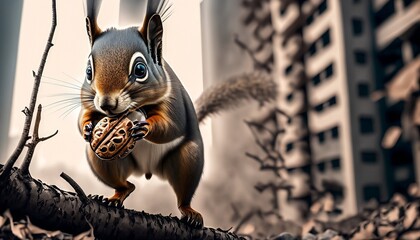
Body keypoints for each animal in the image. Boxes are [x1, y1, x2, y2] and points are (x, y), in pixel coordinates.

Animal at [79, 0, 276, 228]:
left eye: (140, 70)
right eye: (88, 71)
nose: (107, 104)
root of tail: (147, 171)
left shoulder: (174, 100)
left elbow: (173, 126)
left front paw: (145, 127)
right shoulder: (89, 101)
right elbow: (84, 115)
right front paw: (88, 128)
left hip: (189, 159)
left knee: (183, 194)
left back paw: (190, 212)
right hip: (102, 158)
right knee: (125, 185)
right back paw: (112, 197)